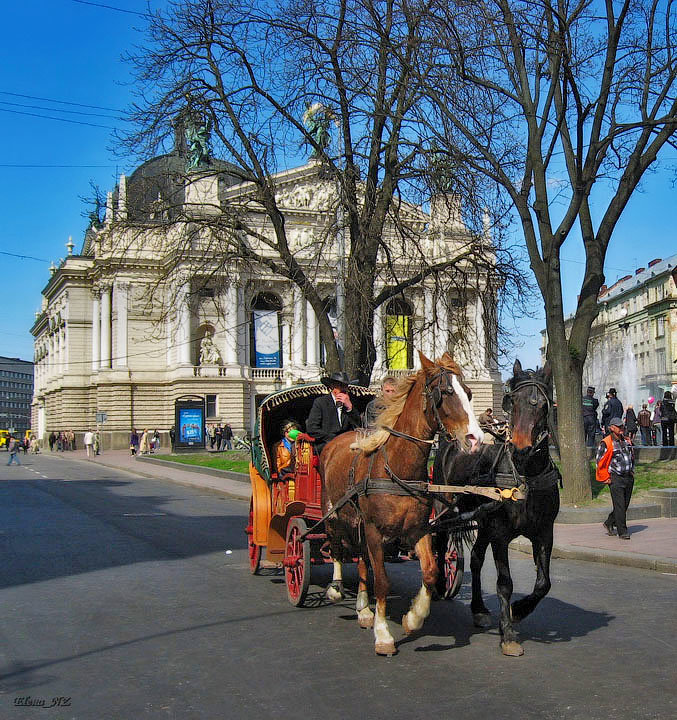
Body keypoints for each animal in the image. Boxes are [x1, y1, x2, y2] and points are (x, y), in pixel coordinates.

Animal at [316, 352, 480, 656]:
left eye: (469, 392)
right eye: (446, 393)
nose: (475, 439)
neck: (396, 468)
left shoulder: (418, 530)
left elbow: (430, 572)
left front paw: (413, 617)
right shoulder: (374, 531)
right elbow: (382, 581)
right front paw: (383, 634)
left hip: (358, 525)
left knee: (361, 559)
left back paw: (363, 608)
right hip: (332, 512)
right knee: (335, 545)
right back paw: (335, 588)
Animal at [434, 360, 560, 660]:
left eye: (543, 405)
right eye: (512, 400)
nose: (522, 448)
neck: (525, 475)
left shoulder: (544, 533)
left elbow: (543, 583)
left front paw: (519, 610)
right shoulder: (501, 535)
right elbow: (505, 582)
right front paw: (508, 635)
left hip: (483, 522)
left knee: (476, 559)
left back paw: (478, 608)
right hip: (446, 507)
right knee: (439, 542)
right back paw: (438, 584)